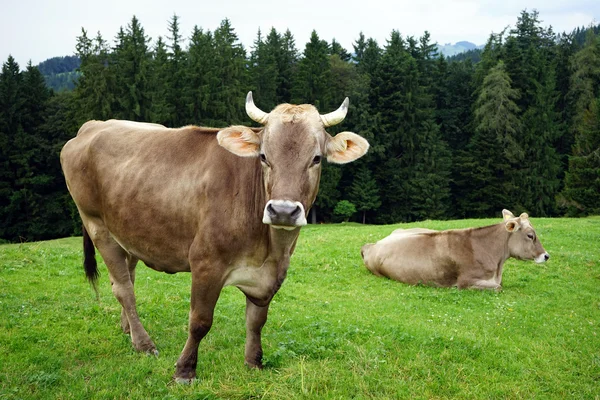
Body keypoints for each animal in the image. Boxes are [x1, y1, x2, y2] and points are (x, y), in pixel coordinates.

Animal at [62, 93, 370, 382]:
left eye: (316, 158)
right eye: (263, 157)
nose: (283, 211)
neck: (270, 248)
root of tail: (93, 125)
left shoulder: (270, 276)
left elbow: (257, 321)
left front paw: (253, 362)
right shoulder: (205, 262)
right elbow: (200, 321)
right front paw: (185, 370)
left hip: (128, 231)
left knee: (127, 278)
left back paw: (128, 329)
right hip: (98, 226)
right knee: (123, 289)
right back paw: (143, 343)